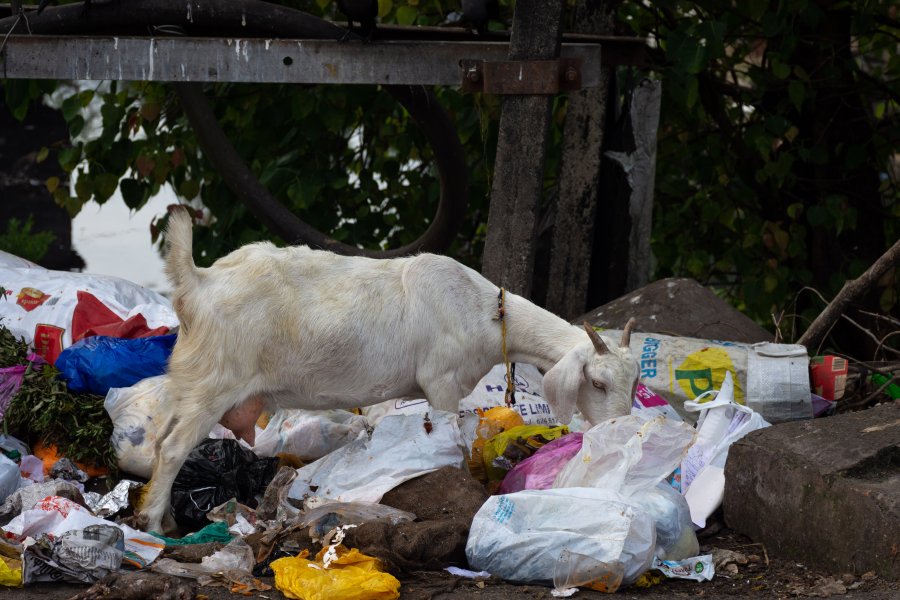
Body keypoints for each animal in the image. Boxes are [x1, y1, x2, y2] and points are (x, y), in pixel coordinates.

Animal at [139, 209, 640, 532]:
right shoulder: (442, 382)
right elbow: (451, 442)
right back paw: (153, 524)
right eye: (597, 382)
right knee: (174, 447)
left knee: (159, 441)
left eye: (635, 382)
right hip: (215, 381)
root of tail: (198, 283)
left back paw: (163, 517)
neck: (483, 311)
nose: (619, 427)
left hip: (190, 379)